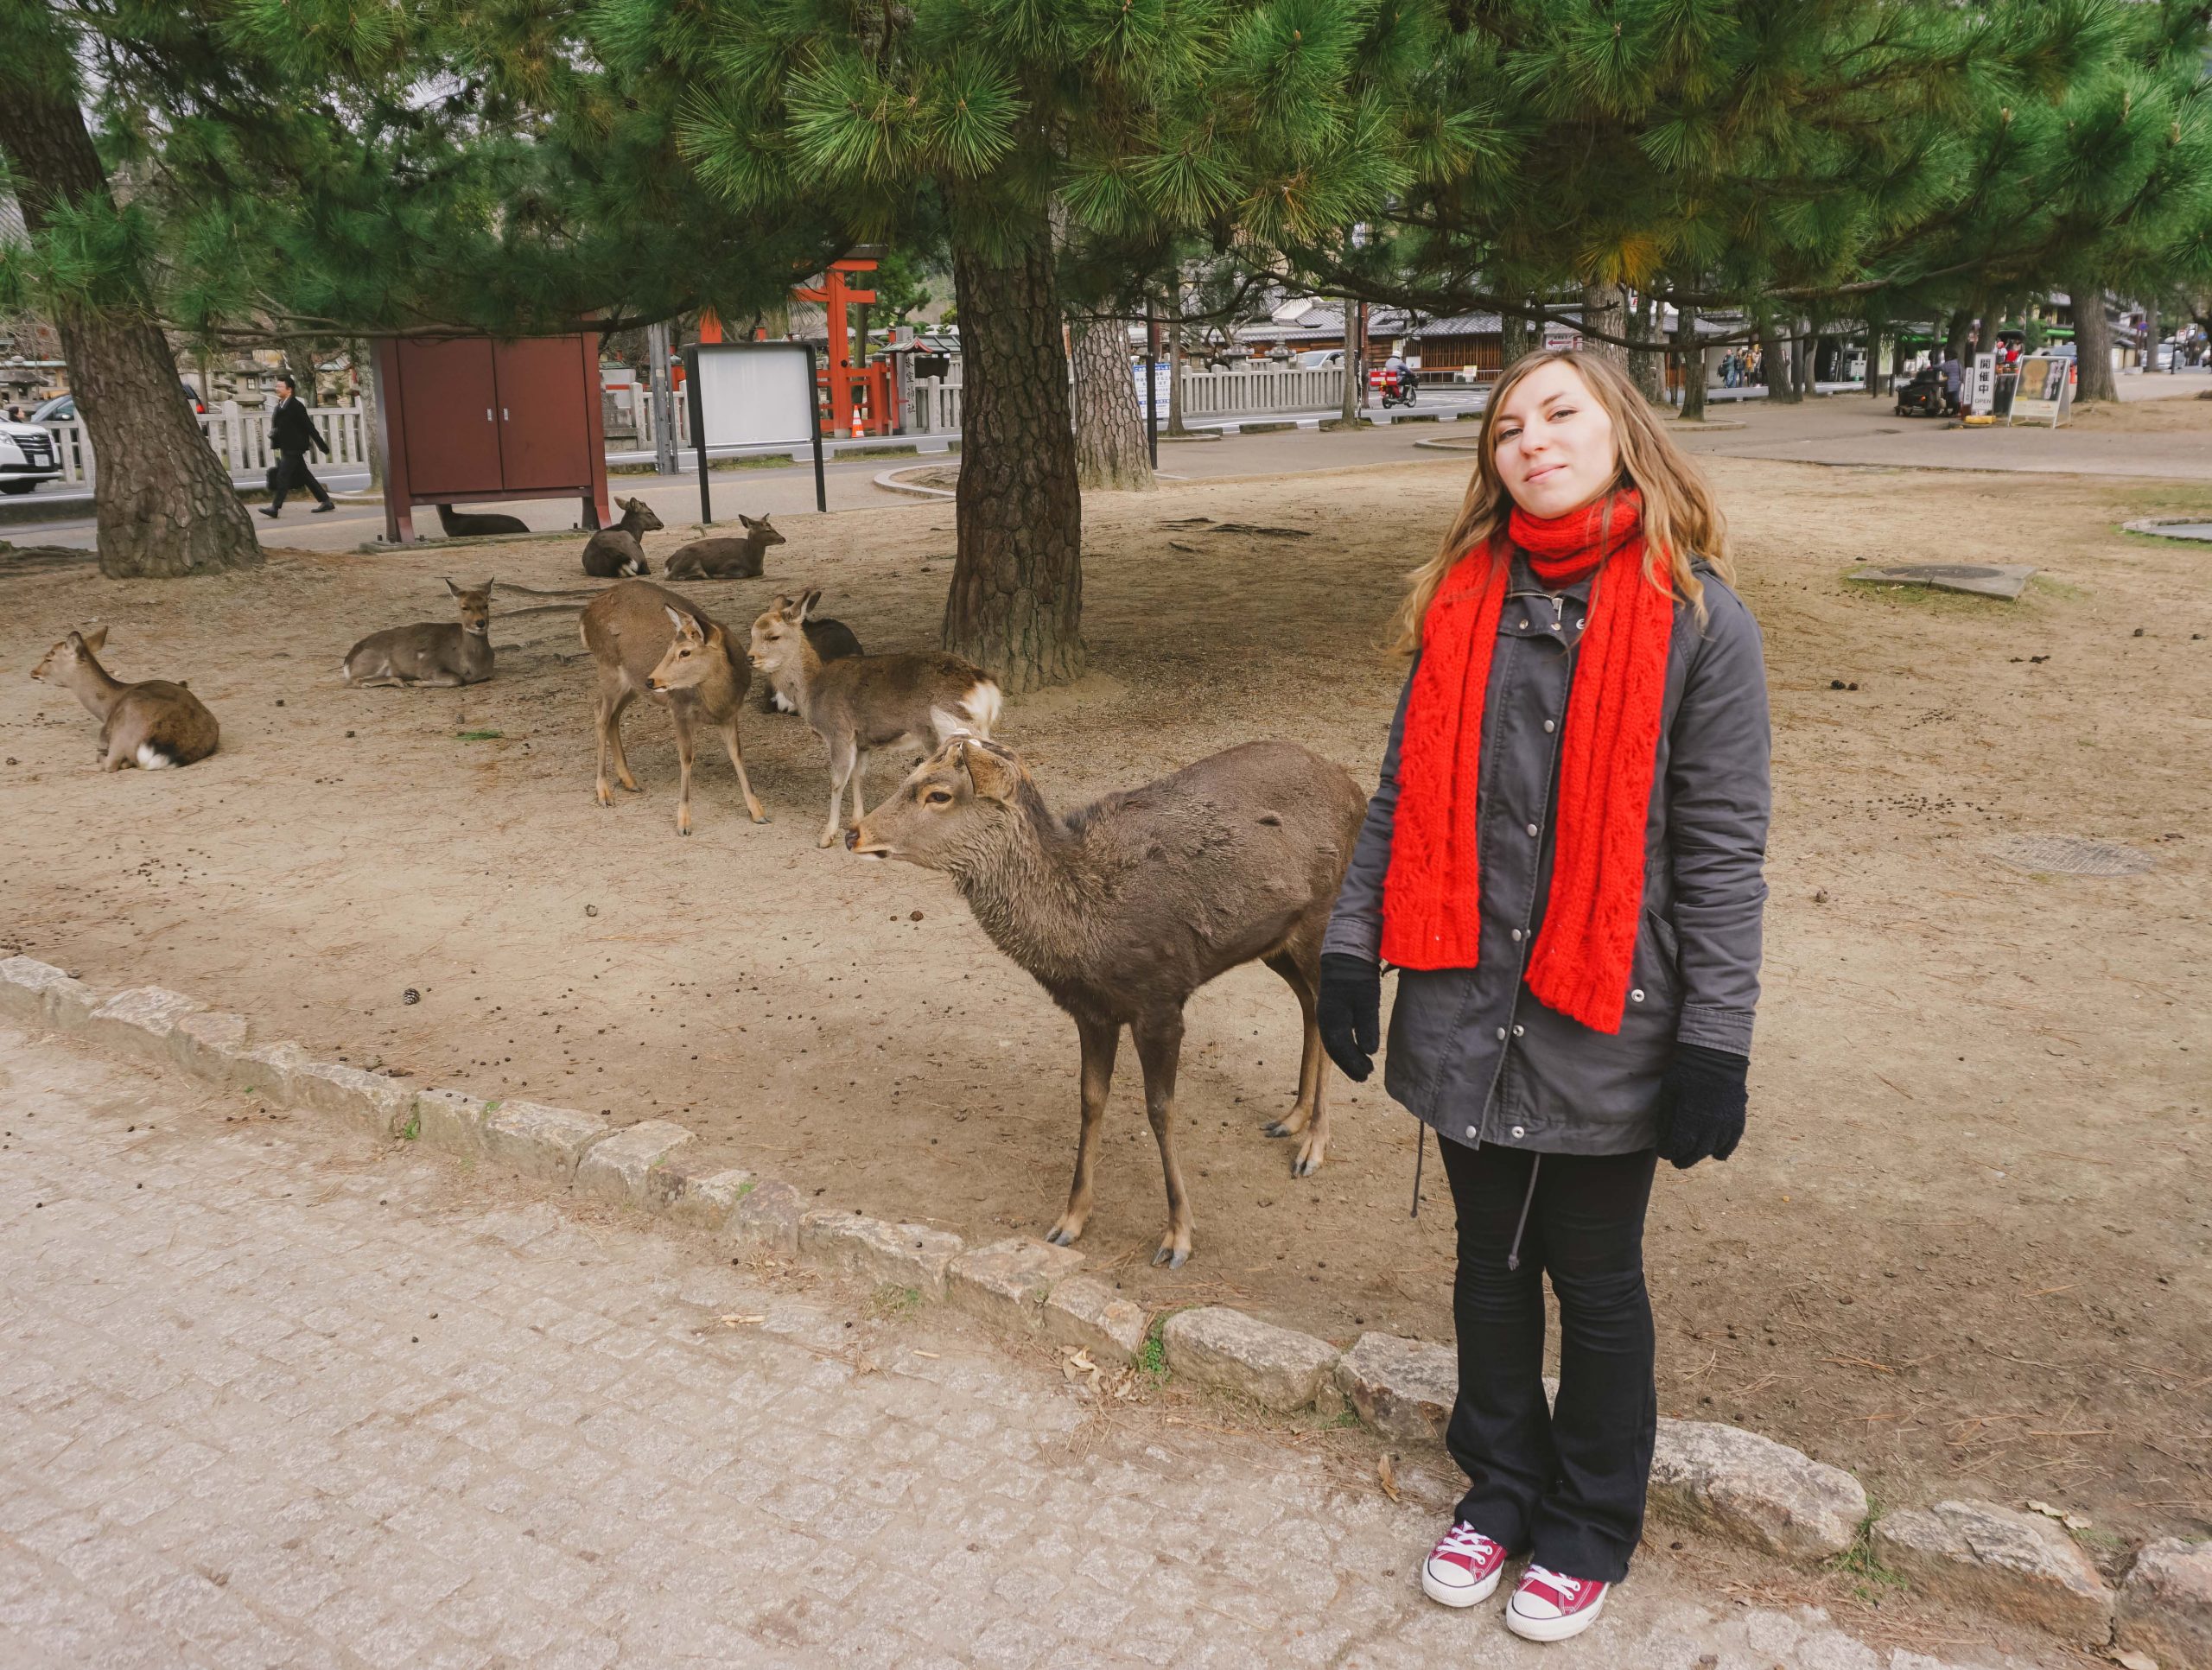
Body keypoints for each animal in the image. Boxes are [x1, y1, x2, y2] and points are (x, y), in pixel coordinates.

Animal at [340, 579, 498, 689]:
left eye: (486, 605)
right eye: (464, 607)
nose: (480, 623)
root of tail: (348, 661)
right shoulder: (429, 666)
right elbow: (457, 679)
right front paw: (418, 682)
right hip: (373, 660)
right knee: (354, 680)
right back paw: (399, 681)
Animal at [579, 579, 769, 835]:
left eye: (685, 651)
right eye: (669, 647)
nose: (652, 680)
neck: (717, 701)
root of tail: (585, 614)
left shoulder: (730, 714)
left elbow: (736, 754)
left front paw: (758, 812)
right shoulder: (678, 707)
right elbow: (686, 757)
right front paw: (684, 823)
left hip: (632, 683)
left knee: (612, 717)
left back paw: (630, 781)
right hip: (609, 667)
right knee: (600, 715)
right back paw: (604, 792)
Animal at [658, 508, 791, 579]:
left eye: (772, 527)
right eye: (768, 530)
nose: (783, 538)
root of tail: (667, 563)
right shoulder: (726, 564)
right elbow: (742, 573)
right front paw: (717, 575)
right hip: (688, 559)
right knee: (671, 576)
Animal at [756, 588, 1008, 849]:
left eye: (773, 636)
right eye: (753, 633)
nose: (751, 657)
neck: (812, 691)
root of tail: (985, 686)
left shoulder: (840, 732)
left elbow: (837, 781)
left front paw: (826, 836)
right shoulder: (862, 742)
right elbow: (857, 775)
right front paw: (856, 821)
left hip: (947, 730)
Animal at [844, 739, 1362, 1273]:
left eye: (939, 794)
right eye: (911, 775)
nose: (852, 832)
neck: (1086, 929)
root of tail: (1354, 790)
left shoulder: (1161, 1002)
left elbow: (1160, 1110)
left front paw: (1178, 1235)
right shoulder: (1091, 1012)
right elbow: (1091, 1101)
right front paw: (1070, 1220)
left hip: (1323, 916)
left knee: (1328, 1008)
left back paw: (1314, 1146)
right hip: (1276, 942)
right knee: (1309, 1005)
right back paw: (1292, 1117)